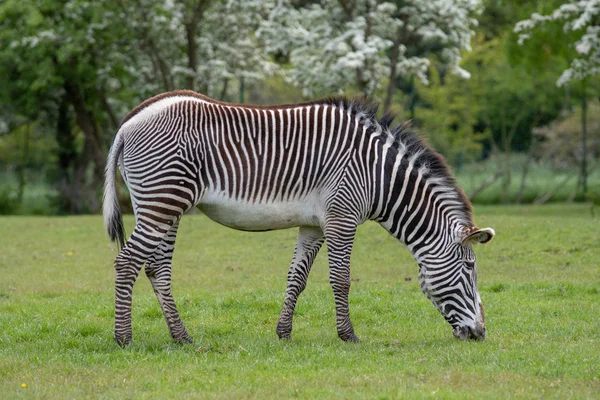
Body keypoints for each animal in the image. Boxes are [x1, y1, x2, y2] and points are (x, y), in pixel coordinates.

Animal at [104, 89, 496, 346]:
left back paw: (181, 336)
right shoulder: (342, 218)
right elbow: (341, 279)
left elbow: (297, 278)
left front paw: (283, 333)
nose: (479, 334)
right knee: (127, 263)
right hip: (162, 202)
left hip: (164, 207)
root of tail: (130, 121)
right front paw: (348, 335)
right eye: (471, 267)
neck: (379, 175)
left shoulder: (313, 224)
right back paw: (123, 337)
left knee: (156, 269)